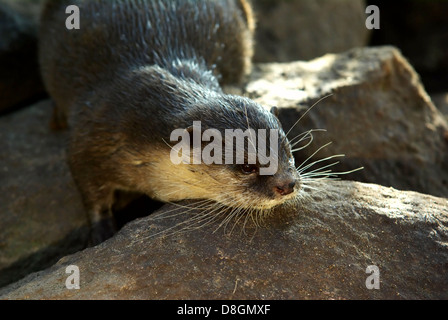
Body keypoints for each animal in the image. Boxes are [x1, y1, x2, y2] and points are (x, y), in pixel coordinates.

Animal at [37, 0, 298, 245]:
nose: (287, 184)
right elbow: (89, 188)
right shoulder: (92, 134)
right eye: (246, 166)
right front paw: (102, 233)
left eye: (288, 152)